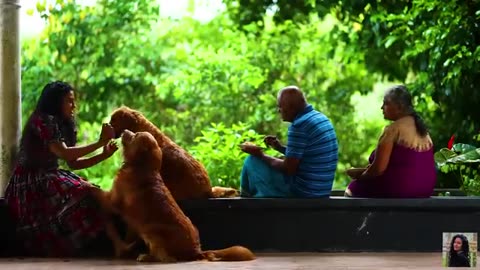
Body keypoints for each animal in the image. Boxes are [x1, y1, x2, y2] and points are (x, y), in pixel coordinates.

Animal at [103, 130, 256, 262]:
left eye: (135, 135)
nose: (124, 131)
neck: (142, 168)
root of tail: (196, 251)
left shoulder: (113, 199)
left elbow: (101, 195)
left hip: (152, 233)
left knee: (164, 257)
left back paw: (146, 256)